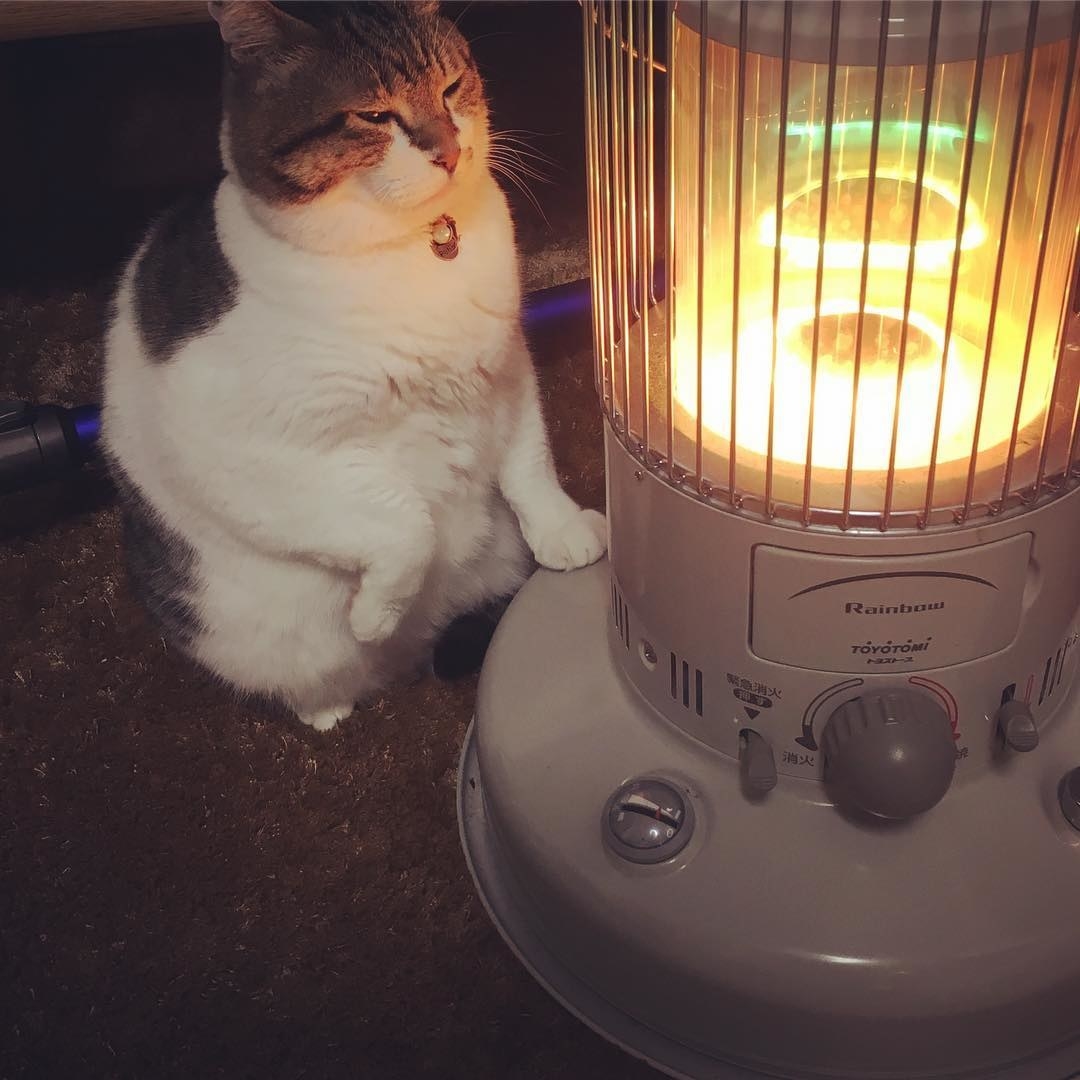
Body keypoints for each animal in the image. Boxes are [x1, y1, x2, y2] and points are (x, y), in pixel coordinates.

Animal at [101, 2, 609, 734]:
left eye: (452, 87)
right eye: (374, 115)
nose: (449, 150)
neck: (419, 250)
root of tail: (424, 647)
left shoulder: (508, 366)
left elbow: (530, 462)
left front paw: (564, 533)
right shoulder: (247, 456)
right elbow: (405, 526)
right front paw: (374, 614)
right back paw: (334, 702)